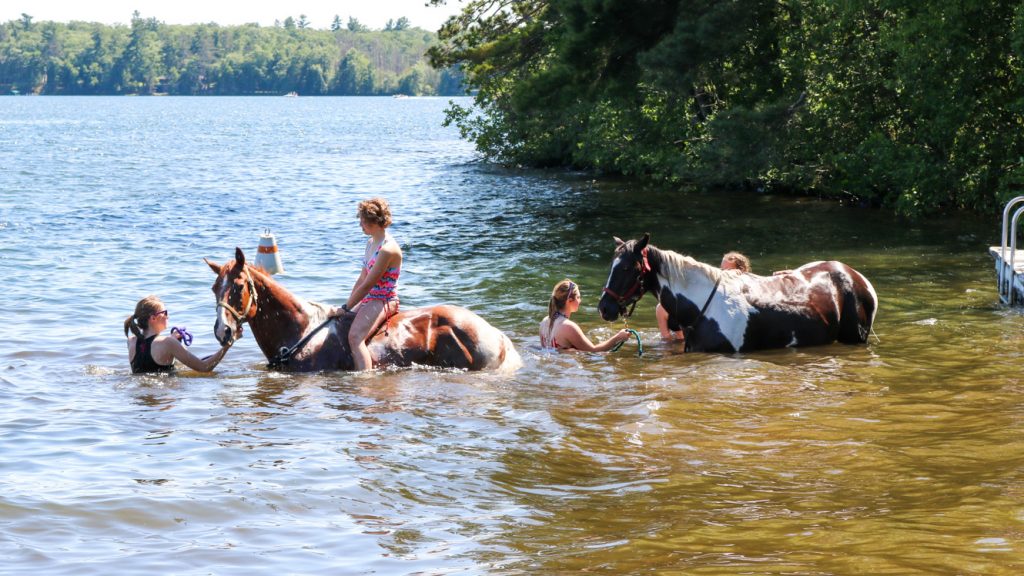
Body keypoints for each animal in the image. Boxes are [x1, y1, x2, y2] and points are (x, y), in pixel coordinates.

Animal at [598, 231, 880, 350]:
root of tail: (856, 276)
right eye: (612, 266)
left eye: (627, 268)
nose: (604, 308)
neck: (704, 307)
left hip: (855, 338)